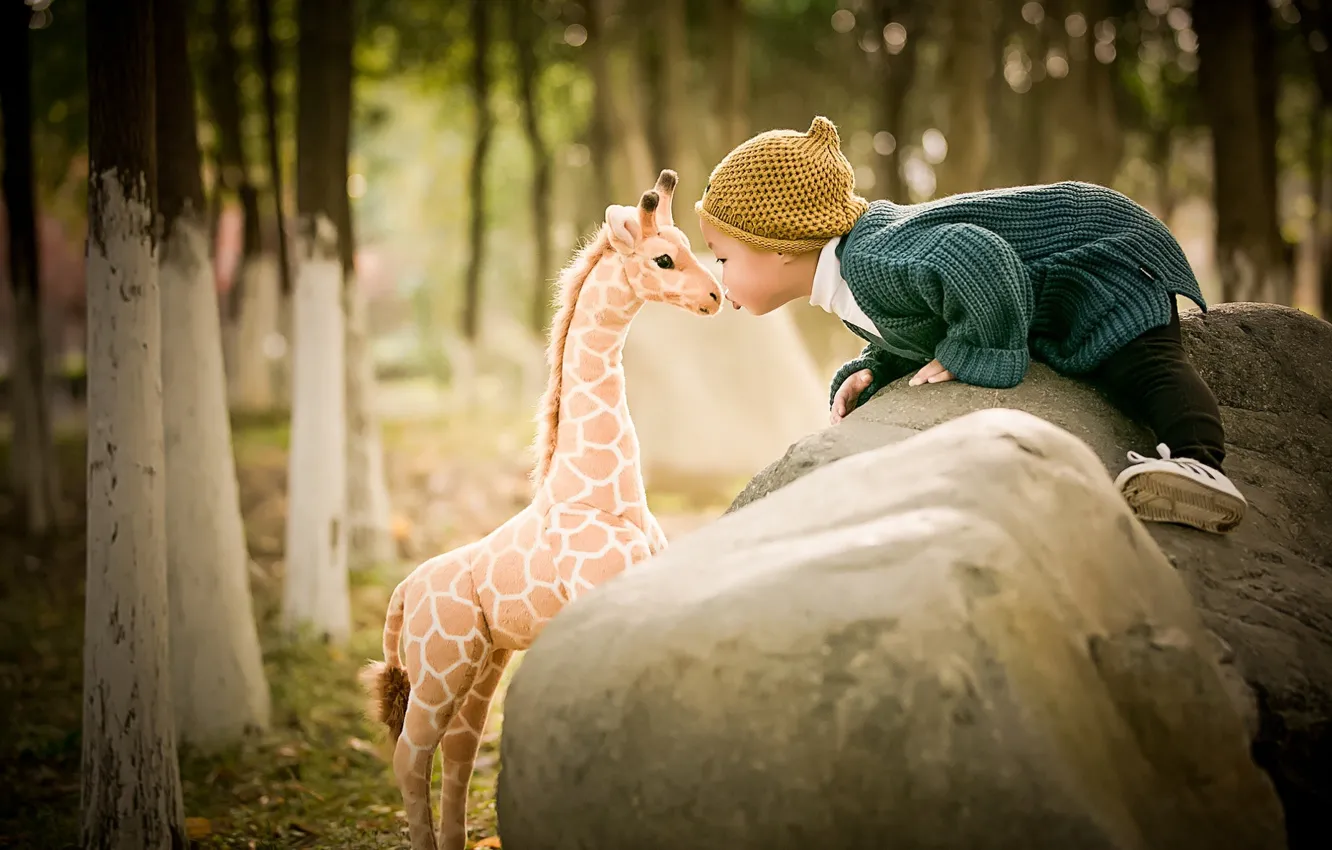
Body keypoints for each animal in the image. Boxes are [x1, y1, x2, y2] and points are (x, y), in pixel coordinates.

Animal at [360, 170, 723, 850]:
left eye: (692, 246)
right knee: (410, 756)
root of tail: (400, 594)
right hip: (438, 668)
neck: (604, 490)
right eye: (663, 258)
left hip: (482, 666)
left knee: (457, 753)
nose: (716, 296)